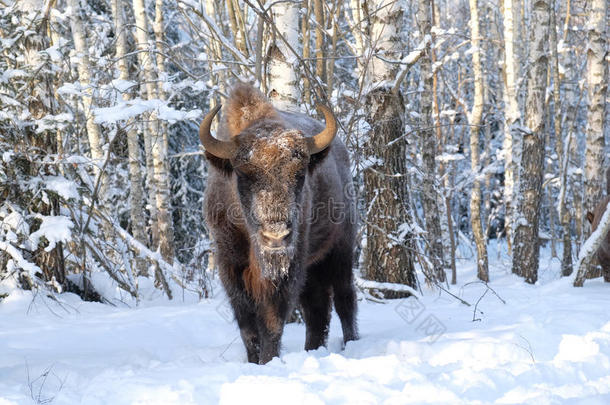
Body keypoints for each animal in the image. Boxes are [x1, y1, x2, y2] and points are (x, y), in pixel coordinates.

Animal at [201, 83, 356, 364]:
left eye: (301, 173)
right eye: (242, 173)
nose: (276, 236)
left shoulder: (288, 268)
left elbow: (272, 323)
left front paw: (267, 361)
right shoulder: (231, 265)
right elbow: (248, 326)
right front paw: (254, 361)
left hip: (340, 250)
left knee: (344, 299)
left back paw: (350, 343)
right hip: (314, 267)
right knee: (318, 308)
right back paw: (312, 349)